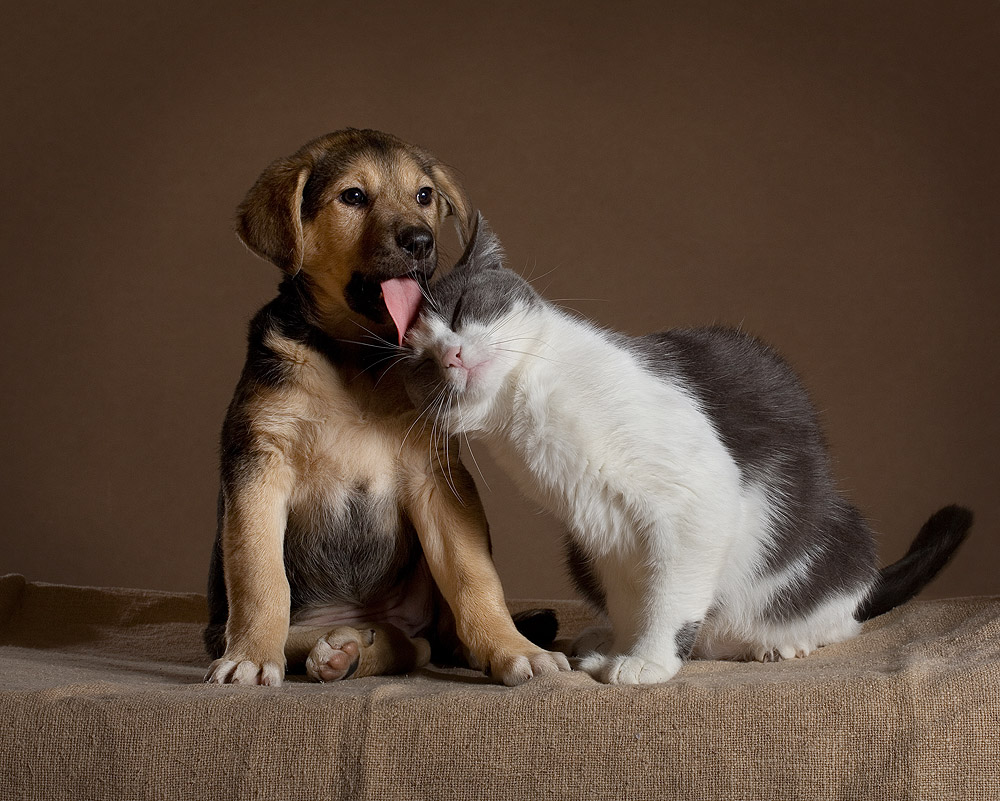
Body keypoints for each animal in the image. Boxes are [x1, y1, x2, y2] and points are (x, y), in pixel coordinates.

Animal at [203, 128, 572, 684]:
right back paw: (339, 646)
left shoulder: (435, 477)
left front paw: (513, 648)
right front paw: (249, 655)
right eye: (353, 196)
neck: (358, 360)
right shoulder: (258, 464)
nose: (420, 242)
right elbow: (260, 576)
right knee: (331, 634)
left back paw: (360, 648)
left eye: (424, 195)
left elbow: (474, 576)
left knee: (423, 643)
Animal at [388, 216, 968, 684]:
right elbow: (632, 596)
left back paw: (781, 643)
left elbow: (669, 594)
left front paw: (648, 660)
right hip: (579, 554)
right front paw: (623, 648)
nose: (451, 355)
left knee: (839, 614)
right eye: (419, 362)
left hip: (838, 538)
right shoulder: (600, 525)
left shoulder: (697, 497)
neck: (530, 410)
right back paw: (605, 638)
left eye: (461, 309)